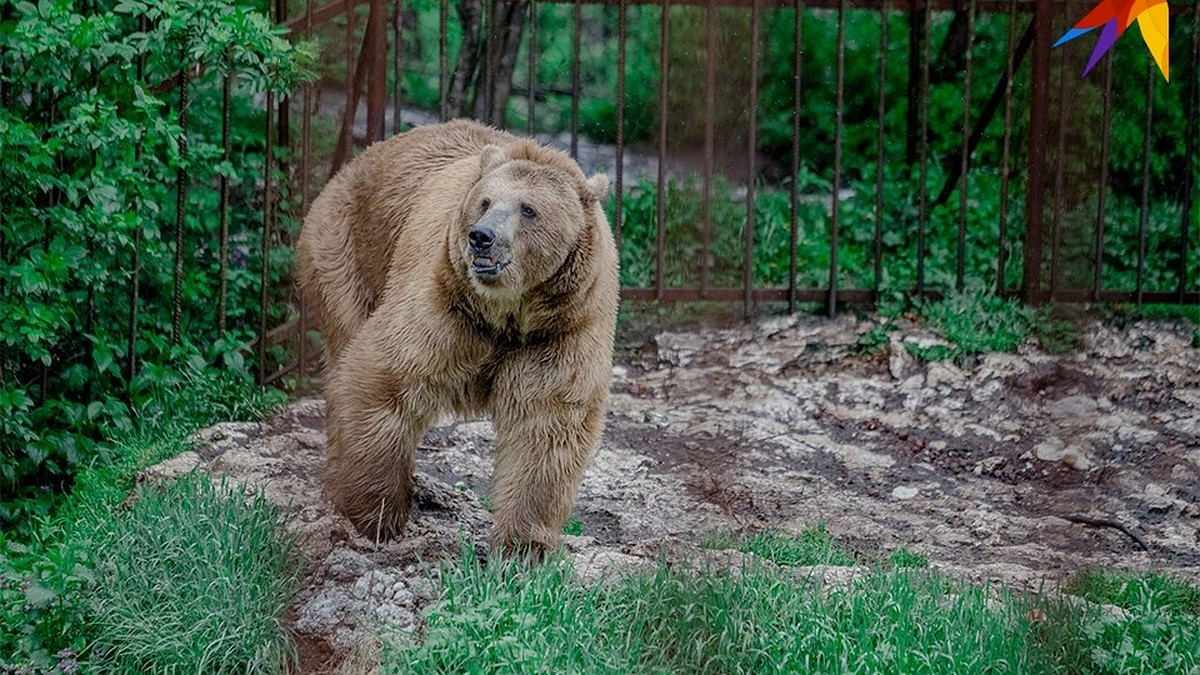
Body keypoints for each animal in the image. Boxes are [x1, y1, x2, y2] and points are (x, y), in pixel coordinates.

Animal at [297, 119, 619, 552]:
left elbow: (546, 424)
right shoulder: (448, 304)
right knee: (343, 356)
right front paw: (376, 517)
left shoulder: (560, 329)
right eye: (484, 201)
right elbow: (383, 377)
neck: (508, 313)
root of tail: (352, 164)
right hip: (346, 256)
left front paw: (522, 546)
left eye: (528, 209)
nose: (481, 237)